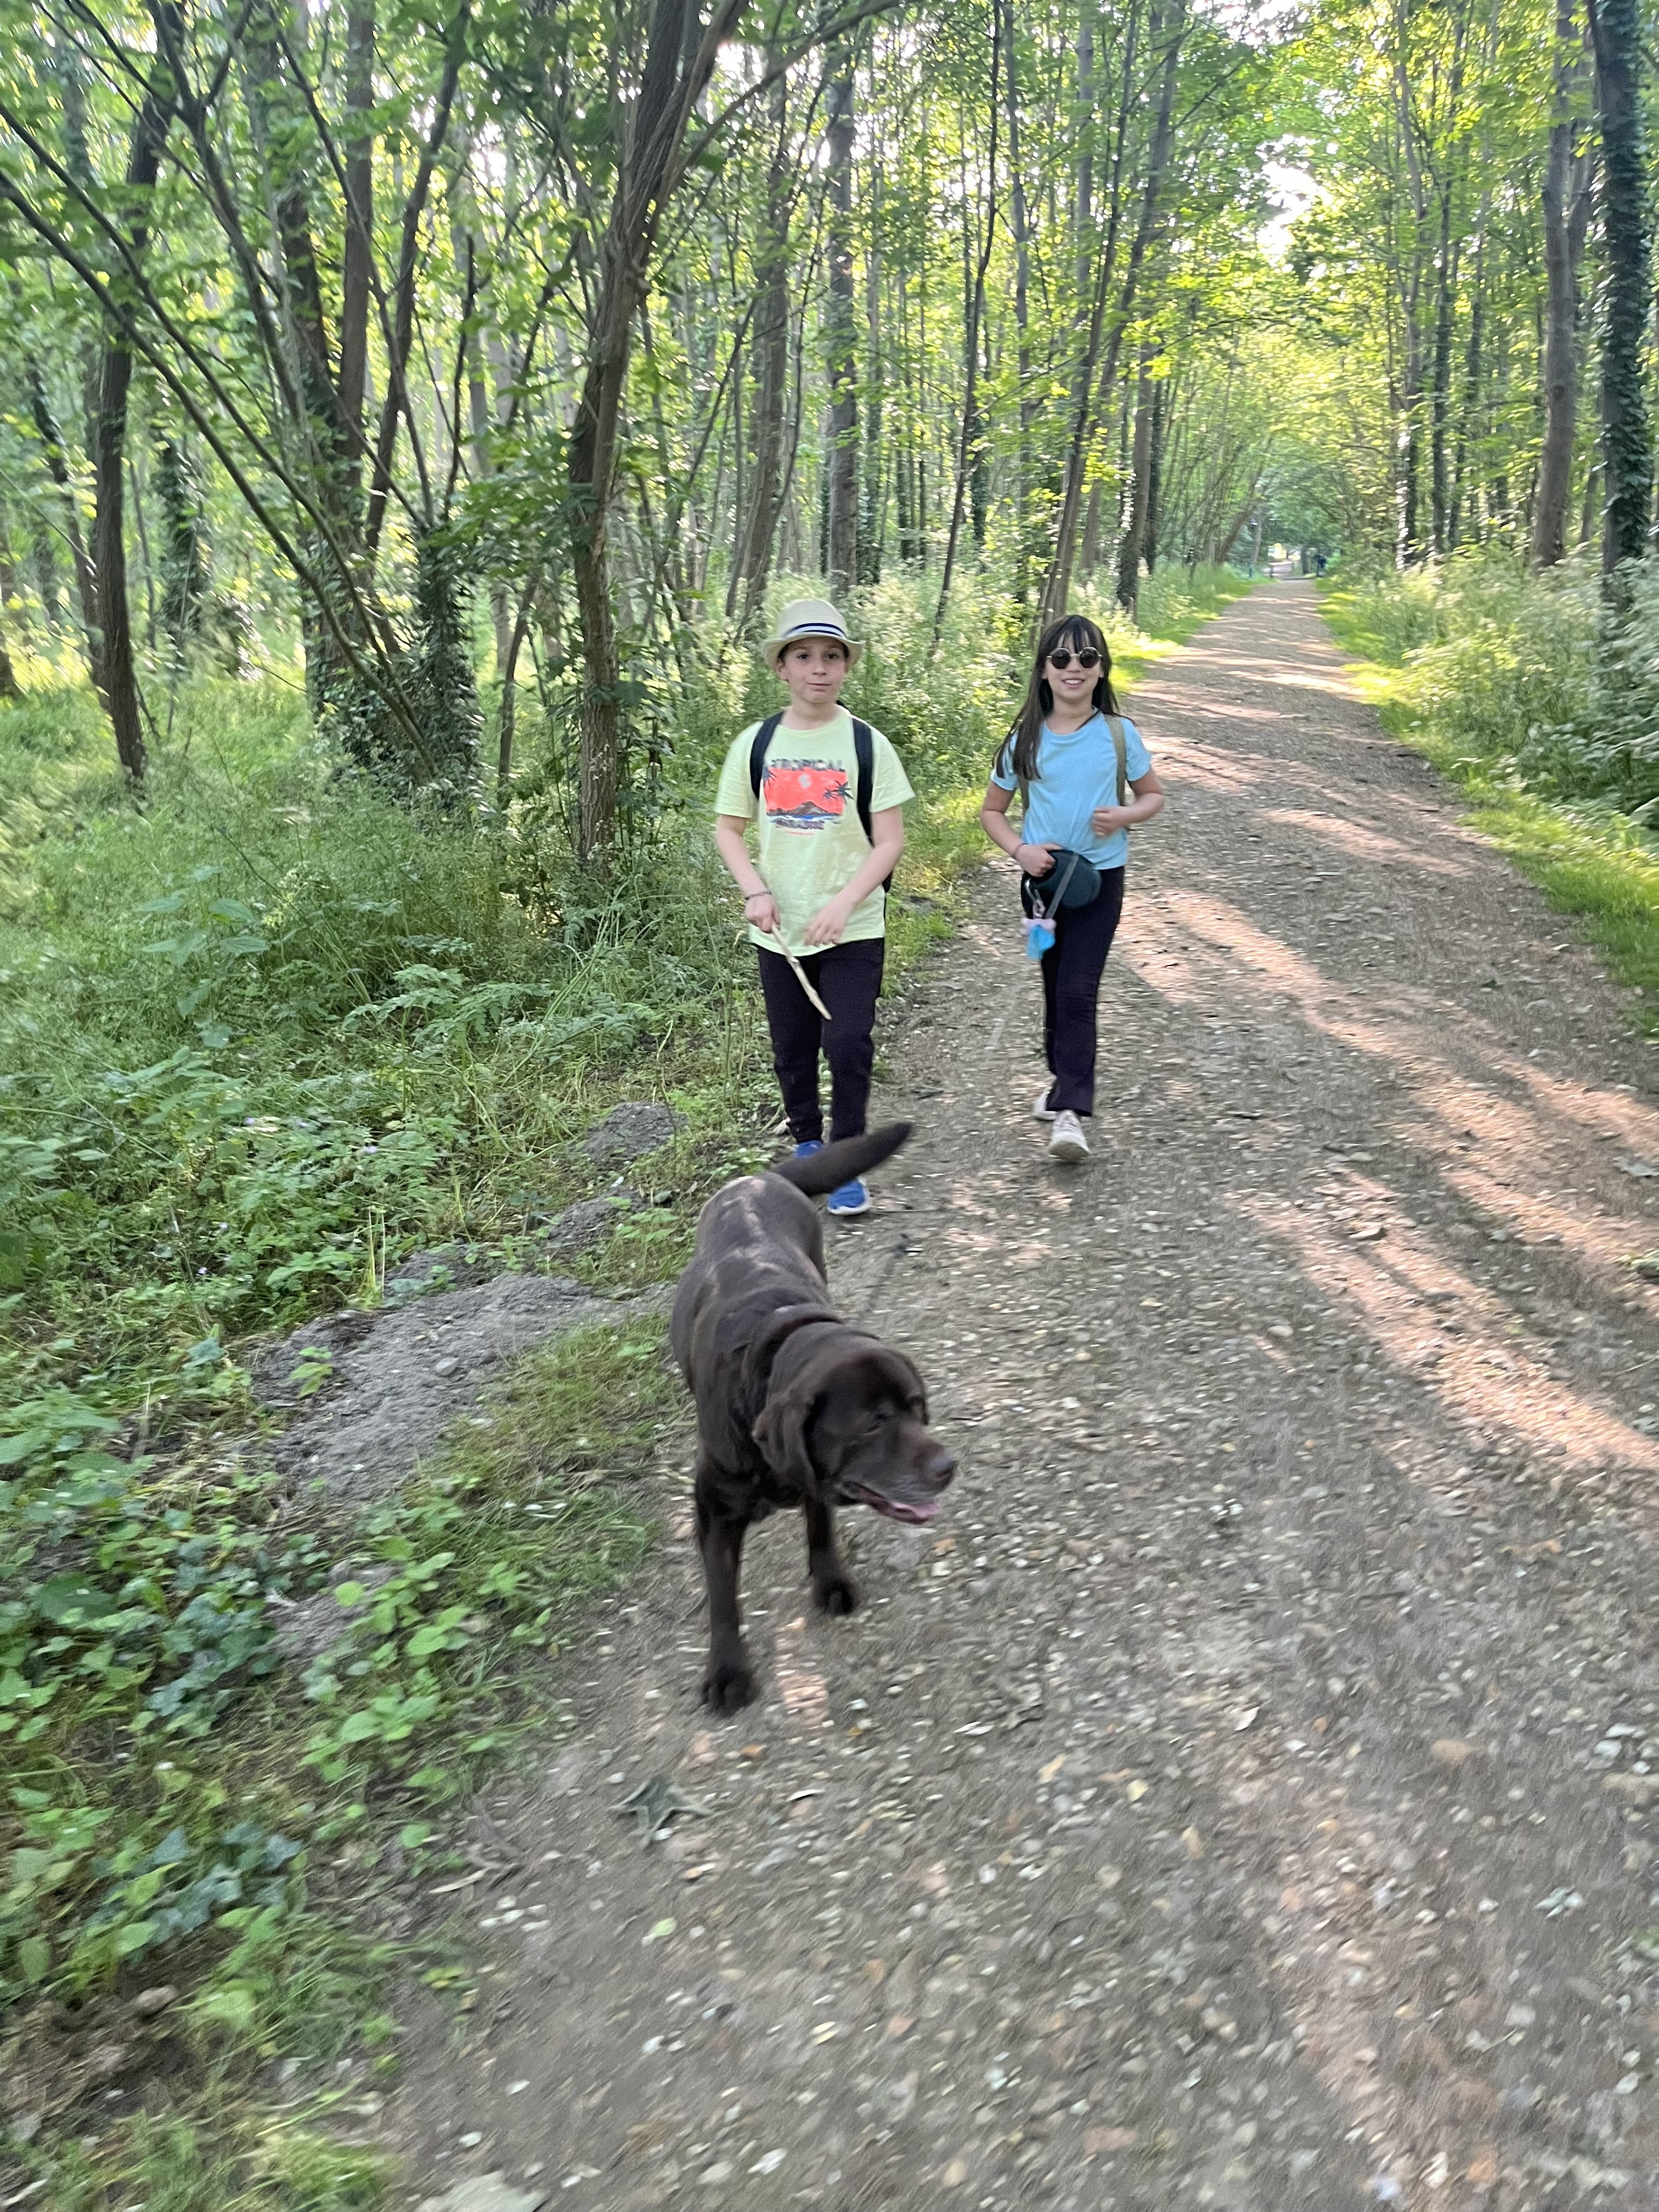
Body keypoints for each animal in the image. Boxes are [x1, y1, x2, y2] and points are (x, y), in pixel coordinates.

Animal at [671, 1123, 957, 1712]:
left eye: (917, 1406)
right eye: (872, 1423)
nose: (948, 1468)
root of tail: (762, 1177)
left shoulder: (817, 1479)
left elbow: (820, 1524)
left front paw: (829, 1581)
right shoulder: (713, 1511)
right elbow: (723, 1596)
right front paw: (728, 1671)